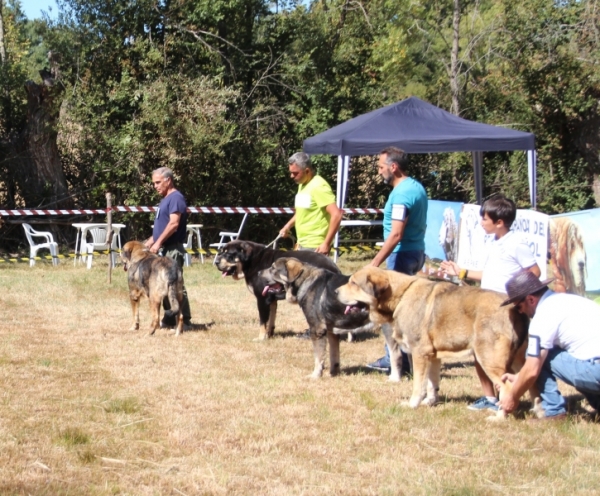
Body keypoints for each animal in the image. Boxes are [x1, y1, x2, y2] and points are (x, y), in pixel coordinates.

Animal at [338, 268, 528, 414]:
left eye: (354, 283)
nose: (335, 292)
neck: (400, 296)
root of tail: (514, 308)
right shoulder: (433, 355)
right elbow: (431, 383)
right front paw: (430, 402)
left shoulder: (419, 353)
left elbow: (418, 385)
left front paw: (412, 404)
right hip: (518, 361)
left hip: (489, 360)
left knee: (507, 389)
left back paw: (499, 417)